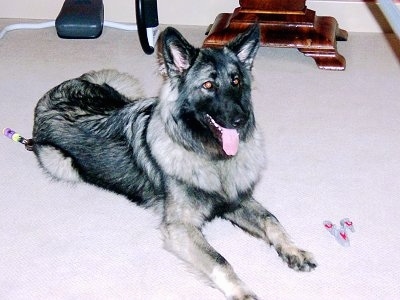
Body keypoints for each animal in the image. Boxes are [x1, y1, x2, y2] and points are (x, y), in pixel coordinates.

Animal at [32, 24, 316, 298]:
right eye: (208, 86)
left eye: (236, 81)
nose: (241, 119)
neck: (211, 157)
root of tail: (52, 94)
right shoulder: (181, 228)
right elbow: (220, 260)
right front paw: (242, 292)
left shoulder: (237, 200)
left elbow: (272, 221)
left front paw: (294, 250)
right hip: (61, 164)